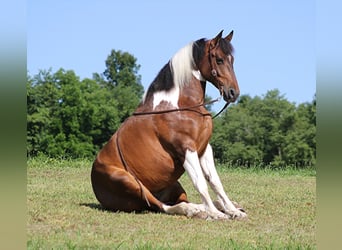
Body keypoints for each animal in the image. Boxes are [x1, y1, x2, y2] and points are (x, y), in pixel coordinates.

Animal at [91, 30, 246, 220]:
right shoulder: (186, 148)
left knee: (179, 201)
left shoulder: (204, 148)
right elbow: (200, 183)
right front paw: (216, 214)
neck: (180, 105)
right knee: (163, 206)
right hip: (130, 182)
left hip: (173, 184)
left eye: (232, 60)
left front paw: (231, 210)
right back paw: (197, 211)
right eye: (219, 60)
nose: (233, 93)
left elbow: (215, 182)